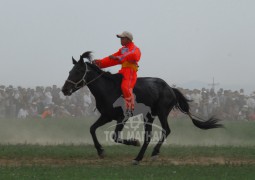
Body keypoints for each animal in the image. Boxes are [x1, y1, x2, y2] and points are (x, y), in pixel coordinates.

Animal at [61, 51, 221, 165]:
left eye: (77, 71)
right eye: (70, 71)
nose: (64, 89)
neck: (108, 89)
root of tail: (170, 88)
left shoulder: (123, 117)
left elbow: (115, 136)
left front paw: (133, 142)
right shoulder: (106, 116)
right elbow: (92, 129)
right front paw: (100, 151)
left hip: (162, 112)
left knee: (166, 130)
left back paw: (154, 152)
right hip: (149, 115)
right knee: (148, 136)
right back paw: (138, 158)